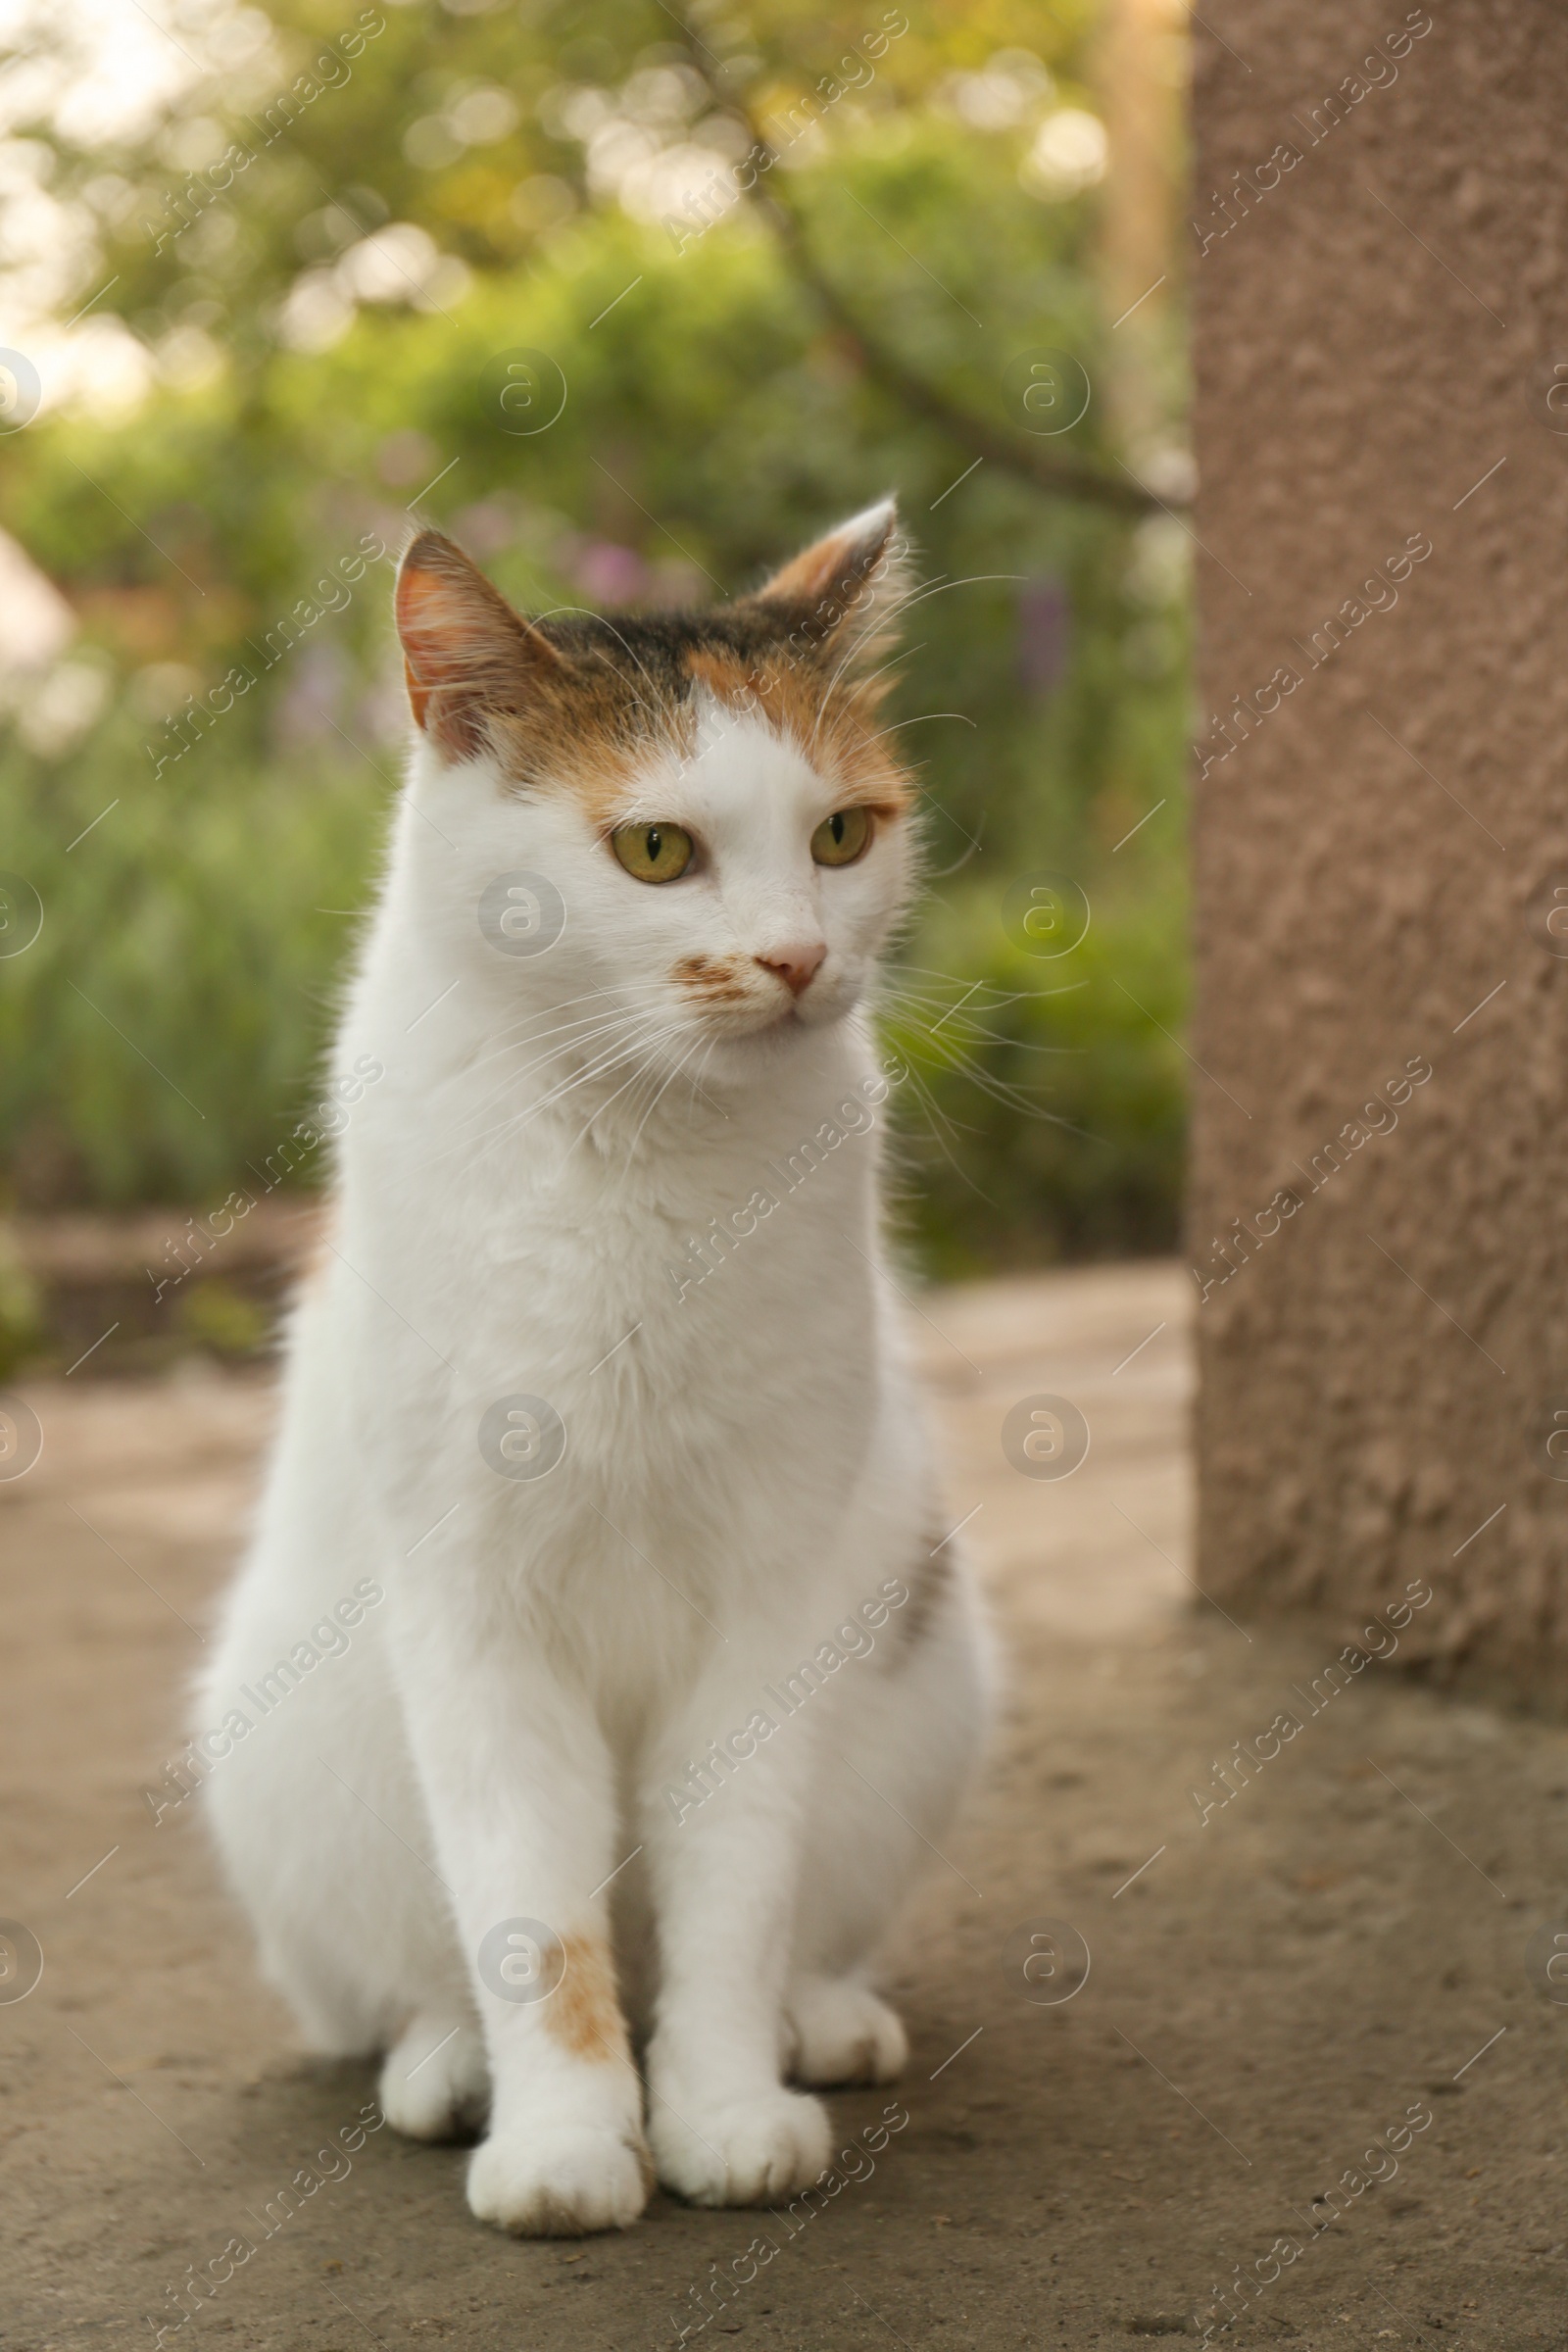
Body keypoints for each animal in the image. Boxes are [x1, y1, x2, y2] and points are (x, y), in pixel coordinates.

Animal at [202, 501, 987, 2238]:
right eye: (656, 853)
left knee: (787, 1925)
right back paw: (444, 2067)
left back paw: (818, 2022)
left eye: (844, 835)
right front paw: (565, 2145)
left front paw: (724, 2109)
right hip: (281, 1749)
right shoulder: (473, 1618)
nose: (795, 960)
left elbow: (732, 1896)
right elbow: (530, 1920)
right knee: (409, 1978)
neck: (644, 1152)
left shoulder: (771, 1601)